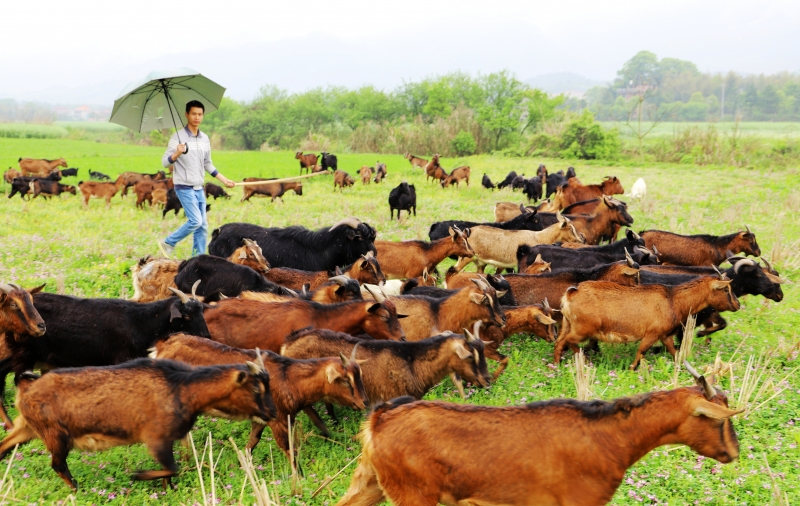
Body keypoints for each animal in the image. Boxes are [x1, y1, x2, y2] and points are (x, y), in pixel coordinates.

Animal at [0, 358, 274, 492]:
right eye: (255, 388)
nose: (271, 413)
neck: (182, 388)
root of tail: (26, 387)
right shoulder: (156, 437)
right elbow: (172, 468)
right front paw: (138, 475)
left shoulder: (168, 439)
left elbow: (170, 471)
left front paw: (168, 491)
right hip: (56, 434)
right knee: (57, 464)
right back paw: (77, 489)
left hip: (27, 427)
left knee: (5, 446)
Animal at [152, 334, 368, 460]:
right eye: (345, 380)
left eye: (359, 375)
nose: (364, 402)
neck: (287, 376)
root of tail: (163, 346)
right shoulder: (279, 420)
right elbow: (290, 451)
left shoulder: (263, 419)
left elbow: (252, 443)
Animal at [334, 376, 740, 506]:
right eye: (718, 419)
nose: (733, 452)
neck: (613, 436)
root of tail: (380, 419)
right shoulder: (579, 502)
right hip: (413, 494)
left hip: (374, 483)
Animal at [556, 276, 736, 368]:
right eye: (726, 289)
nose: (737, 305)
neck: (673, 300)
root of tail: (571, 294)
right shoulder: (652, 333)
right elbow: (641, 350)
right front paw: (631, 368)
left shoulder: (665, 335)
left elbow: (674, 352)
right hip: (582, 329)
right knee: (567, 342)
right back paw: (579, 361)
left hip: (568, 325)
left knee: (560, 342)